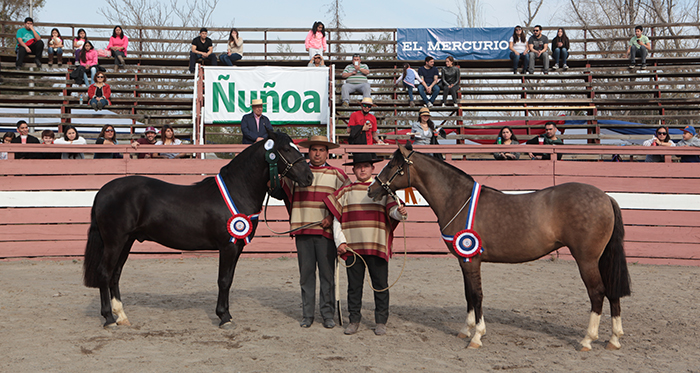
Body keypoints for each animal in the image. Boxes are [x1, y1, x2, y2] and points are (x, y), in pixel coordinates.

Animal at [83, 131, 314, 328]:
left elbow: (229, 280)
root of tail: (103, 191)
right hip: (114, 241)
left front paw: (226, 314)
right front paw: (224, 318)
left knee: (115, 275)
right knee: (105, 273)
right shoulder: (227, 246)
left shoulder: (237, 247)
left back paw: (121, 316)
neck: (237, 190)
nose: (309, 177)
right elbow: (223, 280)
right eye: (286, 149)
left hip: (127, 241)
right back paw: (109, 319)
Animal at [370, 145, 632, 348]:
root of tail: (606, 197)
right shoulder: (464, 260)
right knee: (612, 291)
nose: (373, 189)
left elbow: (477, 295)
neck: (458, 199)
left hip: (587, 259)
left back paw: (588, 340)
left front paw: (477, 336)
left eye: (392, 165)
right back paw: (614, 339)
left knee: (597, 292)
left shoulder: (472, 259)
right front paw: (466, 330)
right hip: (601, 259)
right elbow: (468, 294)